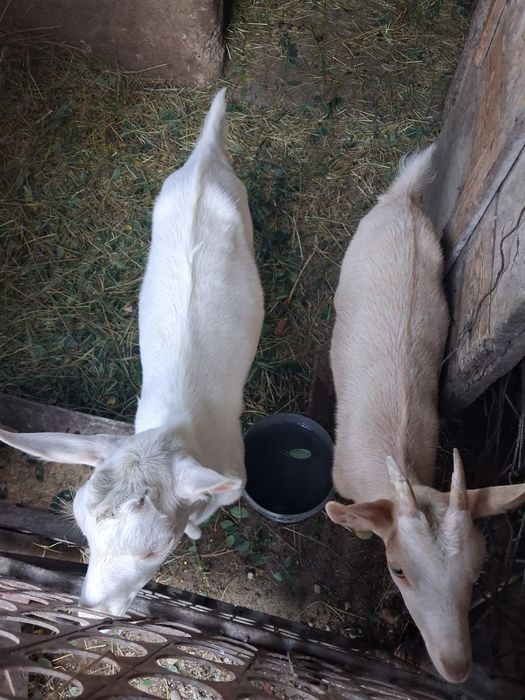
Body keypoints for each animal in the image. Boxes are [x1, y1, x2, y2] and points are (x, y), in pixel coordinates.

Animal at [0, 88, 264, 616]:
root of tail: (204, 158)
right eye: (82, 529)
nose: (94, 607)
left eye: (153, 551)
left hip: (241, 203)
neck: (178, 429)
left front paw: (196, 528)